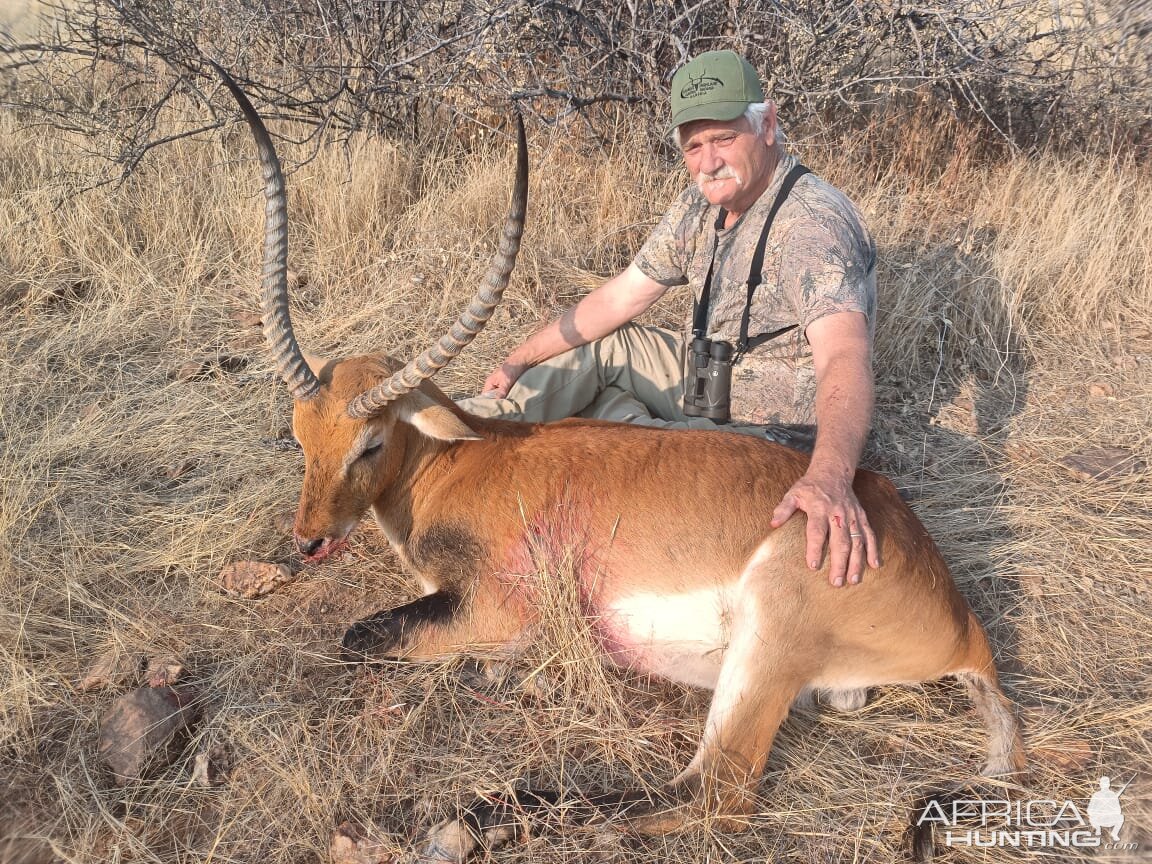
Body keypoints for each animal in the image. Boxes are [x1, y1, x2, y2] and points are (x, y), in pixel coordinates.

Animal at [216, 65, 1027, 861]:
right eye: (301, 435)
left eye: (371, 442)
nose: (309, 540)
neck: (458, 462)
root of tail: (964, 624)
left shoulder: (499, 611)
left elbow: (361, 637)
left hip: (765, 641)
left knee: (716, 792)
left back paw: (472, 823)